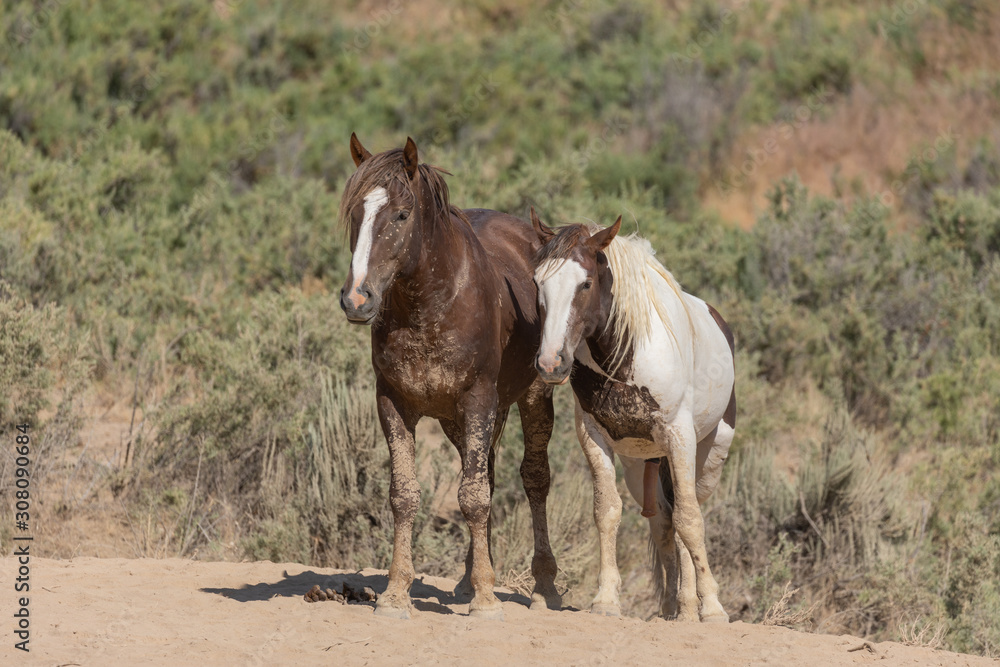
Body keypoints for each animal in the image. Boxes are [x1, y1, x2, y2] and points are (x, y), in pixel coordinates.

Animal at [338, 134, 561, 620]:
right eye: (355, 213)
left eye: (402, 214)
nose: (357, 299)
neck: (431, 306)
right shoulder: (394, 403)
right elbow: (405, 495)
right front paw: (396, 593)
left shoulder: (479, 399)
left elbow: (474, 497)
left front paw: (486, 602)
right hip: (455, 420)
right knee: (486, 475)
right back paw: (466, 580)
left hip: (531, 398)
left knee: (534, 480)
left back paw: (543, 587)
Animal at [530, 210, 736, 622]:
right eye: (537, 282)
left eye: (586, 283)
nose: (550, 363)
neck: (625, 358)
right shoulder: (593, 435)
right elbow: (608, 512)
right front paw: (607, 599)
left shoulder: (680, 437)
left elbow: (691, 520)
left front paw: (713, 606)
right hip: (641, 464)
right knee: (663, 523)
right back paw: (675, 606)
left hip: (708, 455)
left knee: (689, 513)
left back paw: (692, 606)